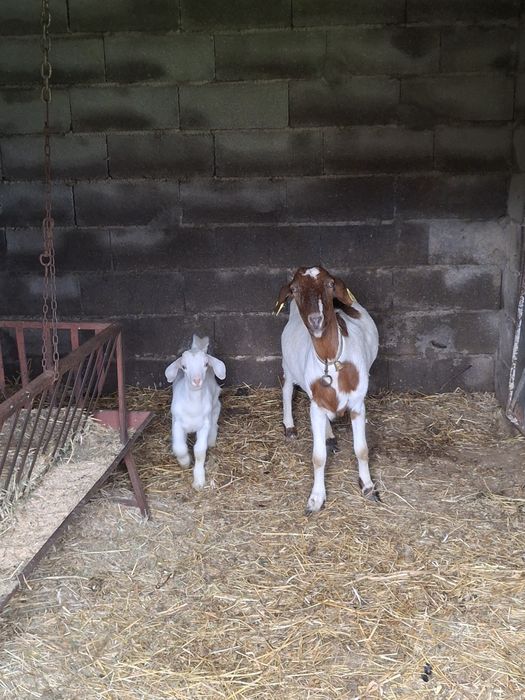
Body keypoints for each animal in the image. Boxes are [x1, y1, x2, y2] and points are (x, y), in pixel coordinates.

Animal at [165, 335, 226, 490]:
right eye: (184, 367)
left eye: (206, 364)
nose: (197, 380)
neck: (193, 406)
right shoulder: (177, 423)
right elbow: (179, 447)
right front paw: (185, 462)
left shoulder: (203, 425)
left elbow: (199, 451)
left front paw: (199, 480)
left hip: (215, 399)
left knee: (216, 413)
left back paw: (211, 439)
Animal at [275, 266, 379, 513]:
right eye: (294, 289)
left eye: (330, 284)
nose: (316, 320)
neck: (332, 361)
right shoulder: (316, 405)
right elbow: (318, 457)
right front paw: (316, 498)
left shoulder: (357, 404)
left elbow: (361, 449)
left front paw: (368, 487)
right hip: (288, 364)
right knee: (287, 388)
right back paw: (290, 426)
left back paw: (329, 434)